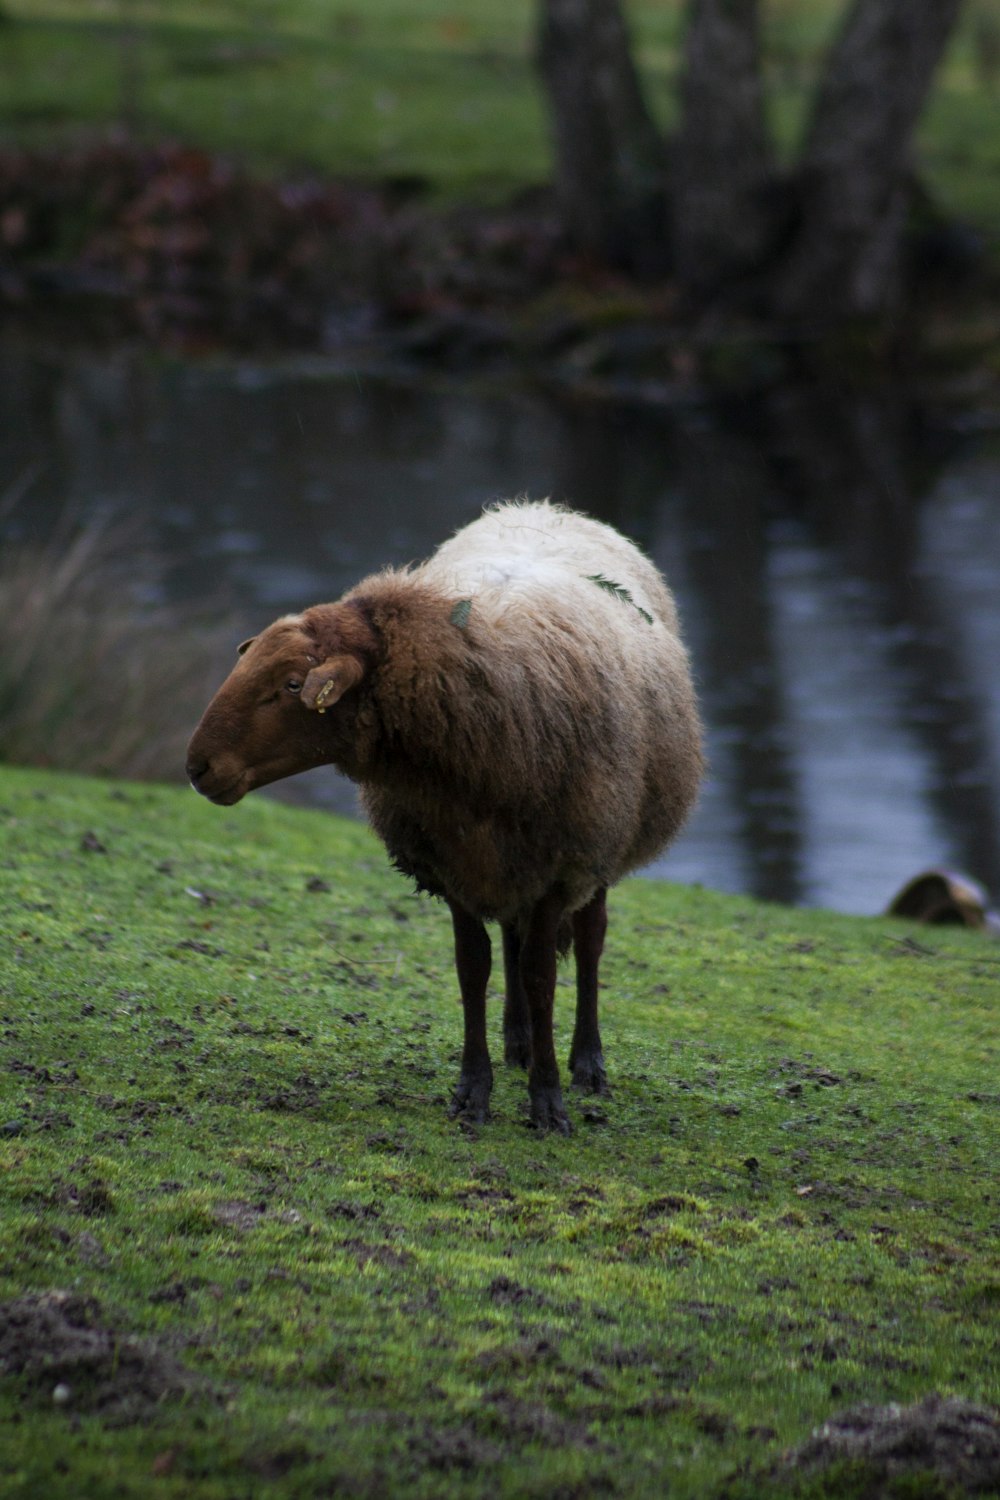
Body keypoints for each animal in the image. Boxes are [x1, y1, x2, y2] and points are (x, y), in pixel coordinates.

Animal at [187, 498, 704, 1128]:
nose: (197, 767)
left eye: (290, 685)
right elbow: (473, 966)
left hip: (601, 844)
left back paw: (586, 1061)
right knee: (513, 938)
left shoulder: (562, 865)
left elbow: (543, 973)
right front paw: (473, 1090)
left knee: (588, 941)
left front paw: (548, 1101)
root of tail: (544, 507)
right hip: (507, 860)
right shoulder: (449, 861)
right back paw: (518, 1042)